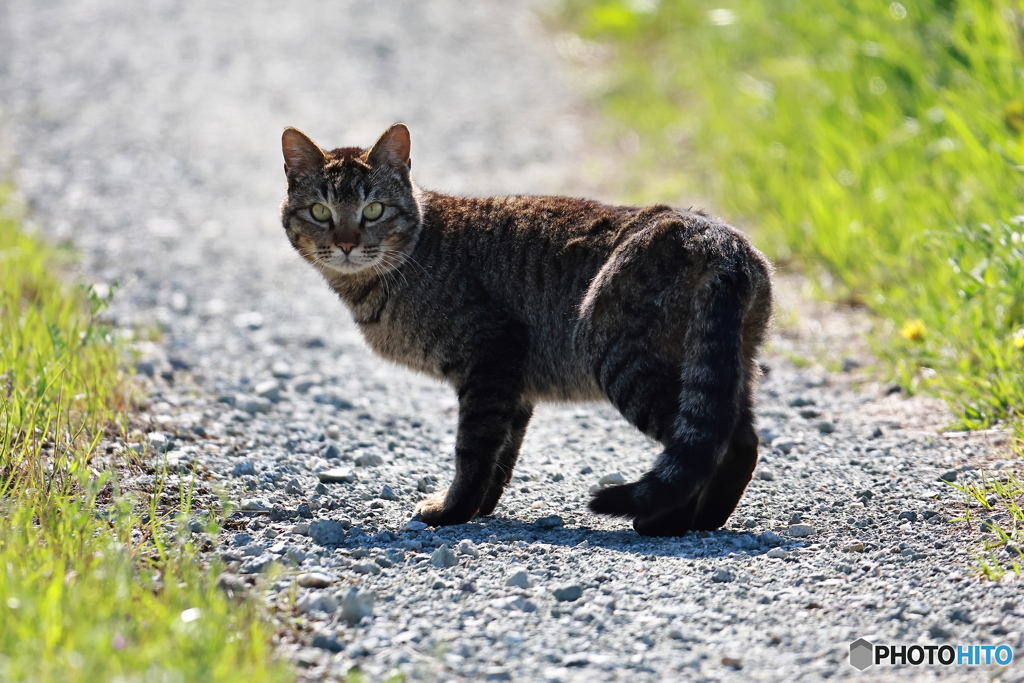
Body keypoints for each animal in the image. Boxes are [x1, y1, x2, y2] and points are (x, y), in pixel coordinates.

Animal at [276, 124, 770, 540]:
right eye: (320, 211)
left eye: (374, 209)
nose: (345, 243)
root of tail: (719, 240)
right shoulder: (514, 384)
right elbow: (502, 455)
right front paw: (480, 507)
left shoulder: (491, 356)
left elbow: (474, 451)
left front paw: (453, 511)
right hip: (725, 369)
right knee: (740, 441)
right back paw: (705, 520)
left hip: (624, 359)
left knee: (708, 447)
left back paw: (665, 523)